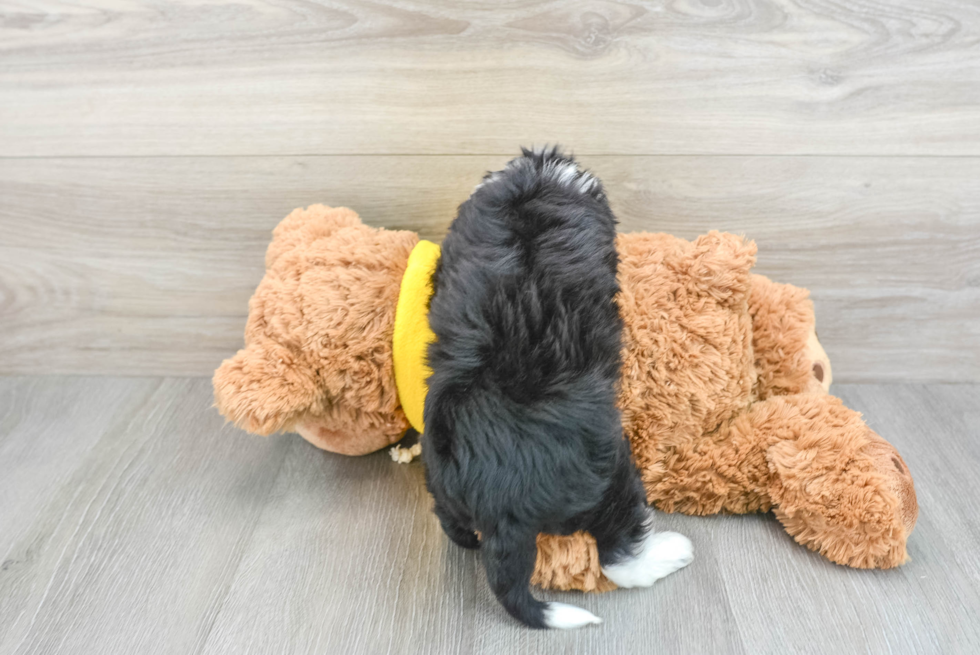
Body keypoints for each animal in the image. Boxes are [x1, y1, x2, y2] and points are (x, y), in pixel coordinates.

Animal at [424, 149, 692, 632]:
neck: (529, 201)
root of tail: (500, 507)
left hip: (441, 483)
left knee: (452, 525)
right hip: (608, 475)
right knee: (618, 555)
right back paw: (669, 552)